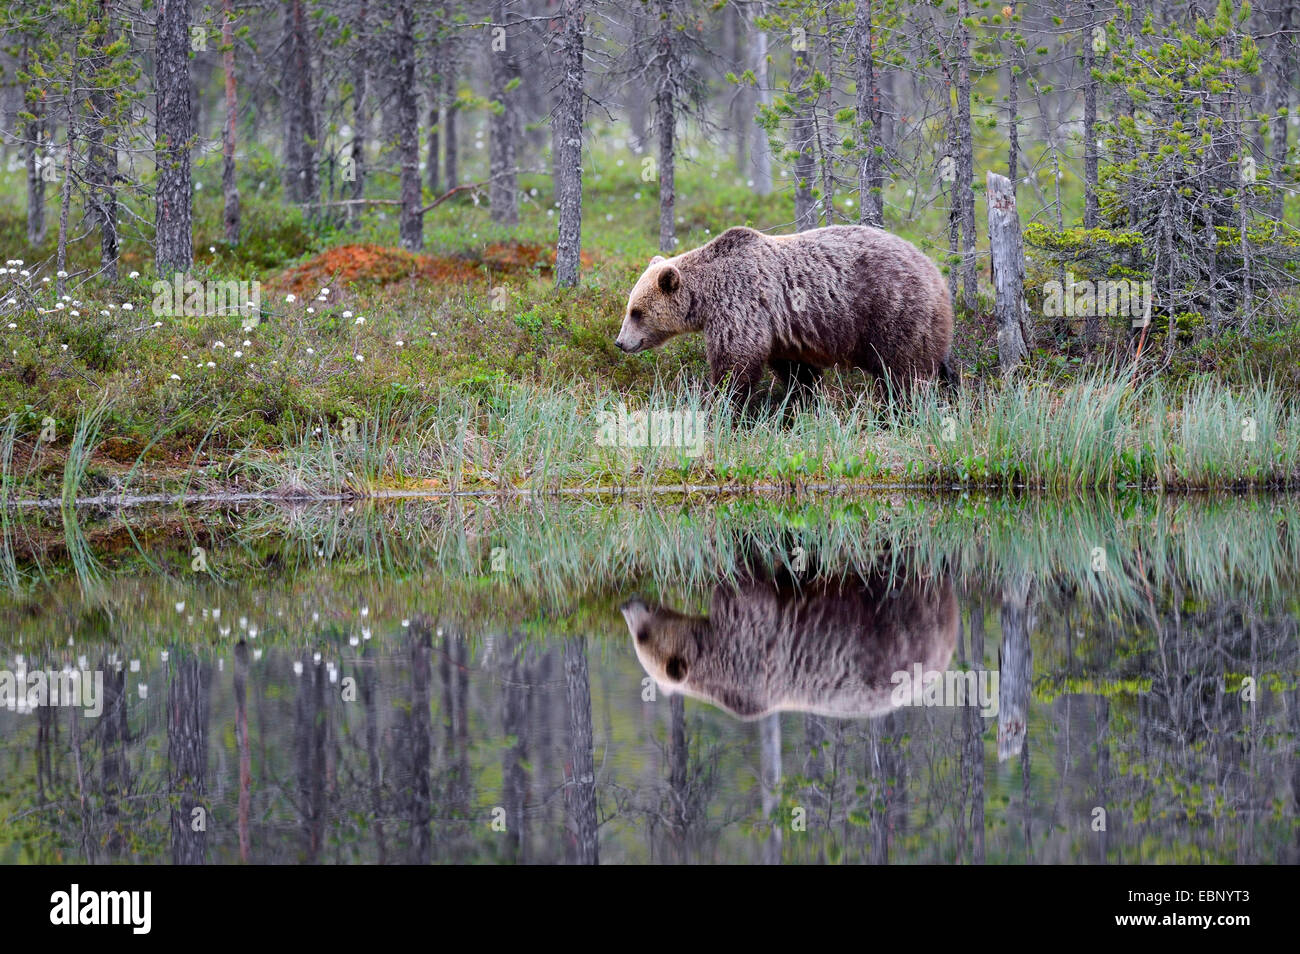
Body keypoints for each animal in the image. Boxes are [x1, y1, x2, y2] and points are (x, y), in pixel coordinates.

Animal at [613, 226, 961, 397]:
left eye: (636, 312)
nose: (620, 342)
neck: (707, 296)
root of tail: (935, 272)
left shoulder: (742, 305)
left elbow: (735, 364)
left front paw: (724, 406)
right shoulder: (782, 330)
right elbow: (796, 372)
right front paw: (803, 401)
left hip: (894, 310)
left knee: (903, 373)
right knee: (939, 369)